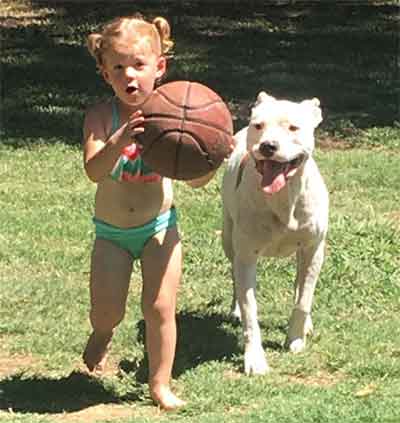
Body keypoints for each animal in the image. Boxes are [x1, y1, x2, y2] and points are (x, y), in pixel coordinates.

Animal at [222, 92, 328, 374]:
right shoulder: (247, 255)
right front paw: (254, 359)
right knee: (235, 276)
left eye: (293, 128)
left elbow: (303, 299)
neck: (284, 197)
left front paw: (296, 339)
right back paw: (235, 309)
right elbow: (250, 308)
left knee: (301, 284)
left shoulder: (314, 249)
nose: (268, 145)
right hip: (228, 239)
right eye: (259, 126)